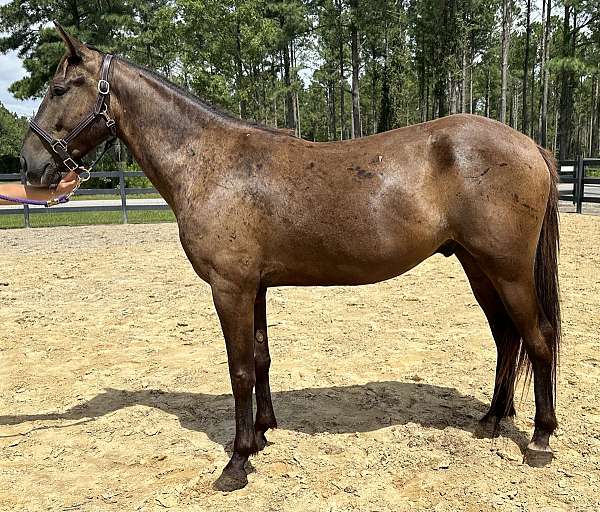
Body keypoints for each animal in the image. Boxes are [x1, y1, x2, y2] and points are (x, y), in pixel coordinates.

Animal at [19, 26, 564, 490]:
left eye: (60, 88)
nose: (30, 164)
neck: (211, 162)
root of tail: (530, 145)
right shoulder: (254, 286)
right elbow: (260, 358)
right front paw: (262, 434)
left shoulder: (230, 288)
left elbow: (239, 368)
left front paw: (237, 462)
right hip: (479, 267)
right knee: (507, 337)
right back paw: (492, 420)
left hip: (508, 270)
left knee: (537, 337)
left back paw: (539, 439)